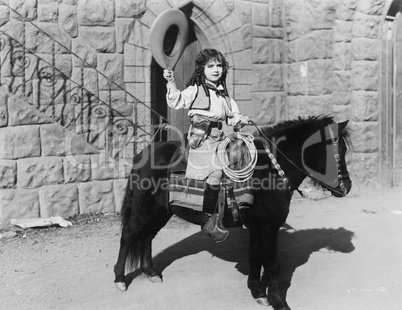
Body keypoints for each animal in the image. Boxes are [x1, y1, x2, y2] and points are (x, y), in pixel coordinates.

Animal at [113, 115, 352, 308]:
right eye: (336, 151)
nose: (346, 186)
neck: (270, 170)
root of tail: (142, 155)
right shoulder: (268, 227)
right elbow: (272, 264)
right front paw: (279, 302)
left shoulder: (258, 227)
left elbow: (255, 257)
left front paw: (258, 293)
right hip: (143, 211)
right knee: (128, 236)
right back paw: (120, 280)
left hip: (160, 212)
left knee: (146, 238)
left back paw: (151, 272)